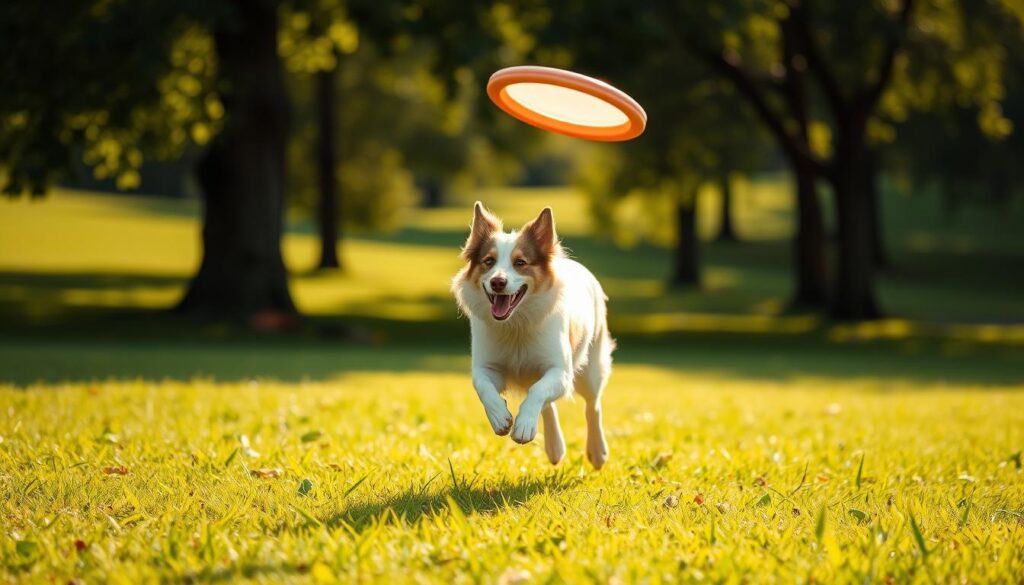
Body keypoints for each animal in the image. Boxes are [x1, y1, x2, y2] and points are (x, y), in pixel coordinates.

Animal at [450, 203, 610, 469]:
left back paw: (597, 452)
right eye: (488, 261)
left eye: (520, 262)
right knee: (549, 404)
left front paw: (524, 425)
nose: (498, 282)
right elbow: (483, 386)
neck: (516, 324)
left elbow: (538, 392)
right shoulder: (487, 367)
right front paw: (500, 417)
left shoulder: (560, 372)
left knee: (592, 406)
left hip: (591, 368)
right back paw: (555, 448)